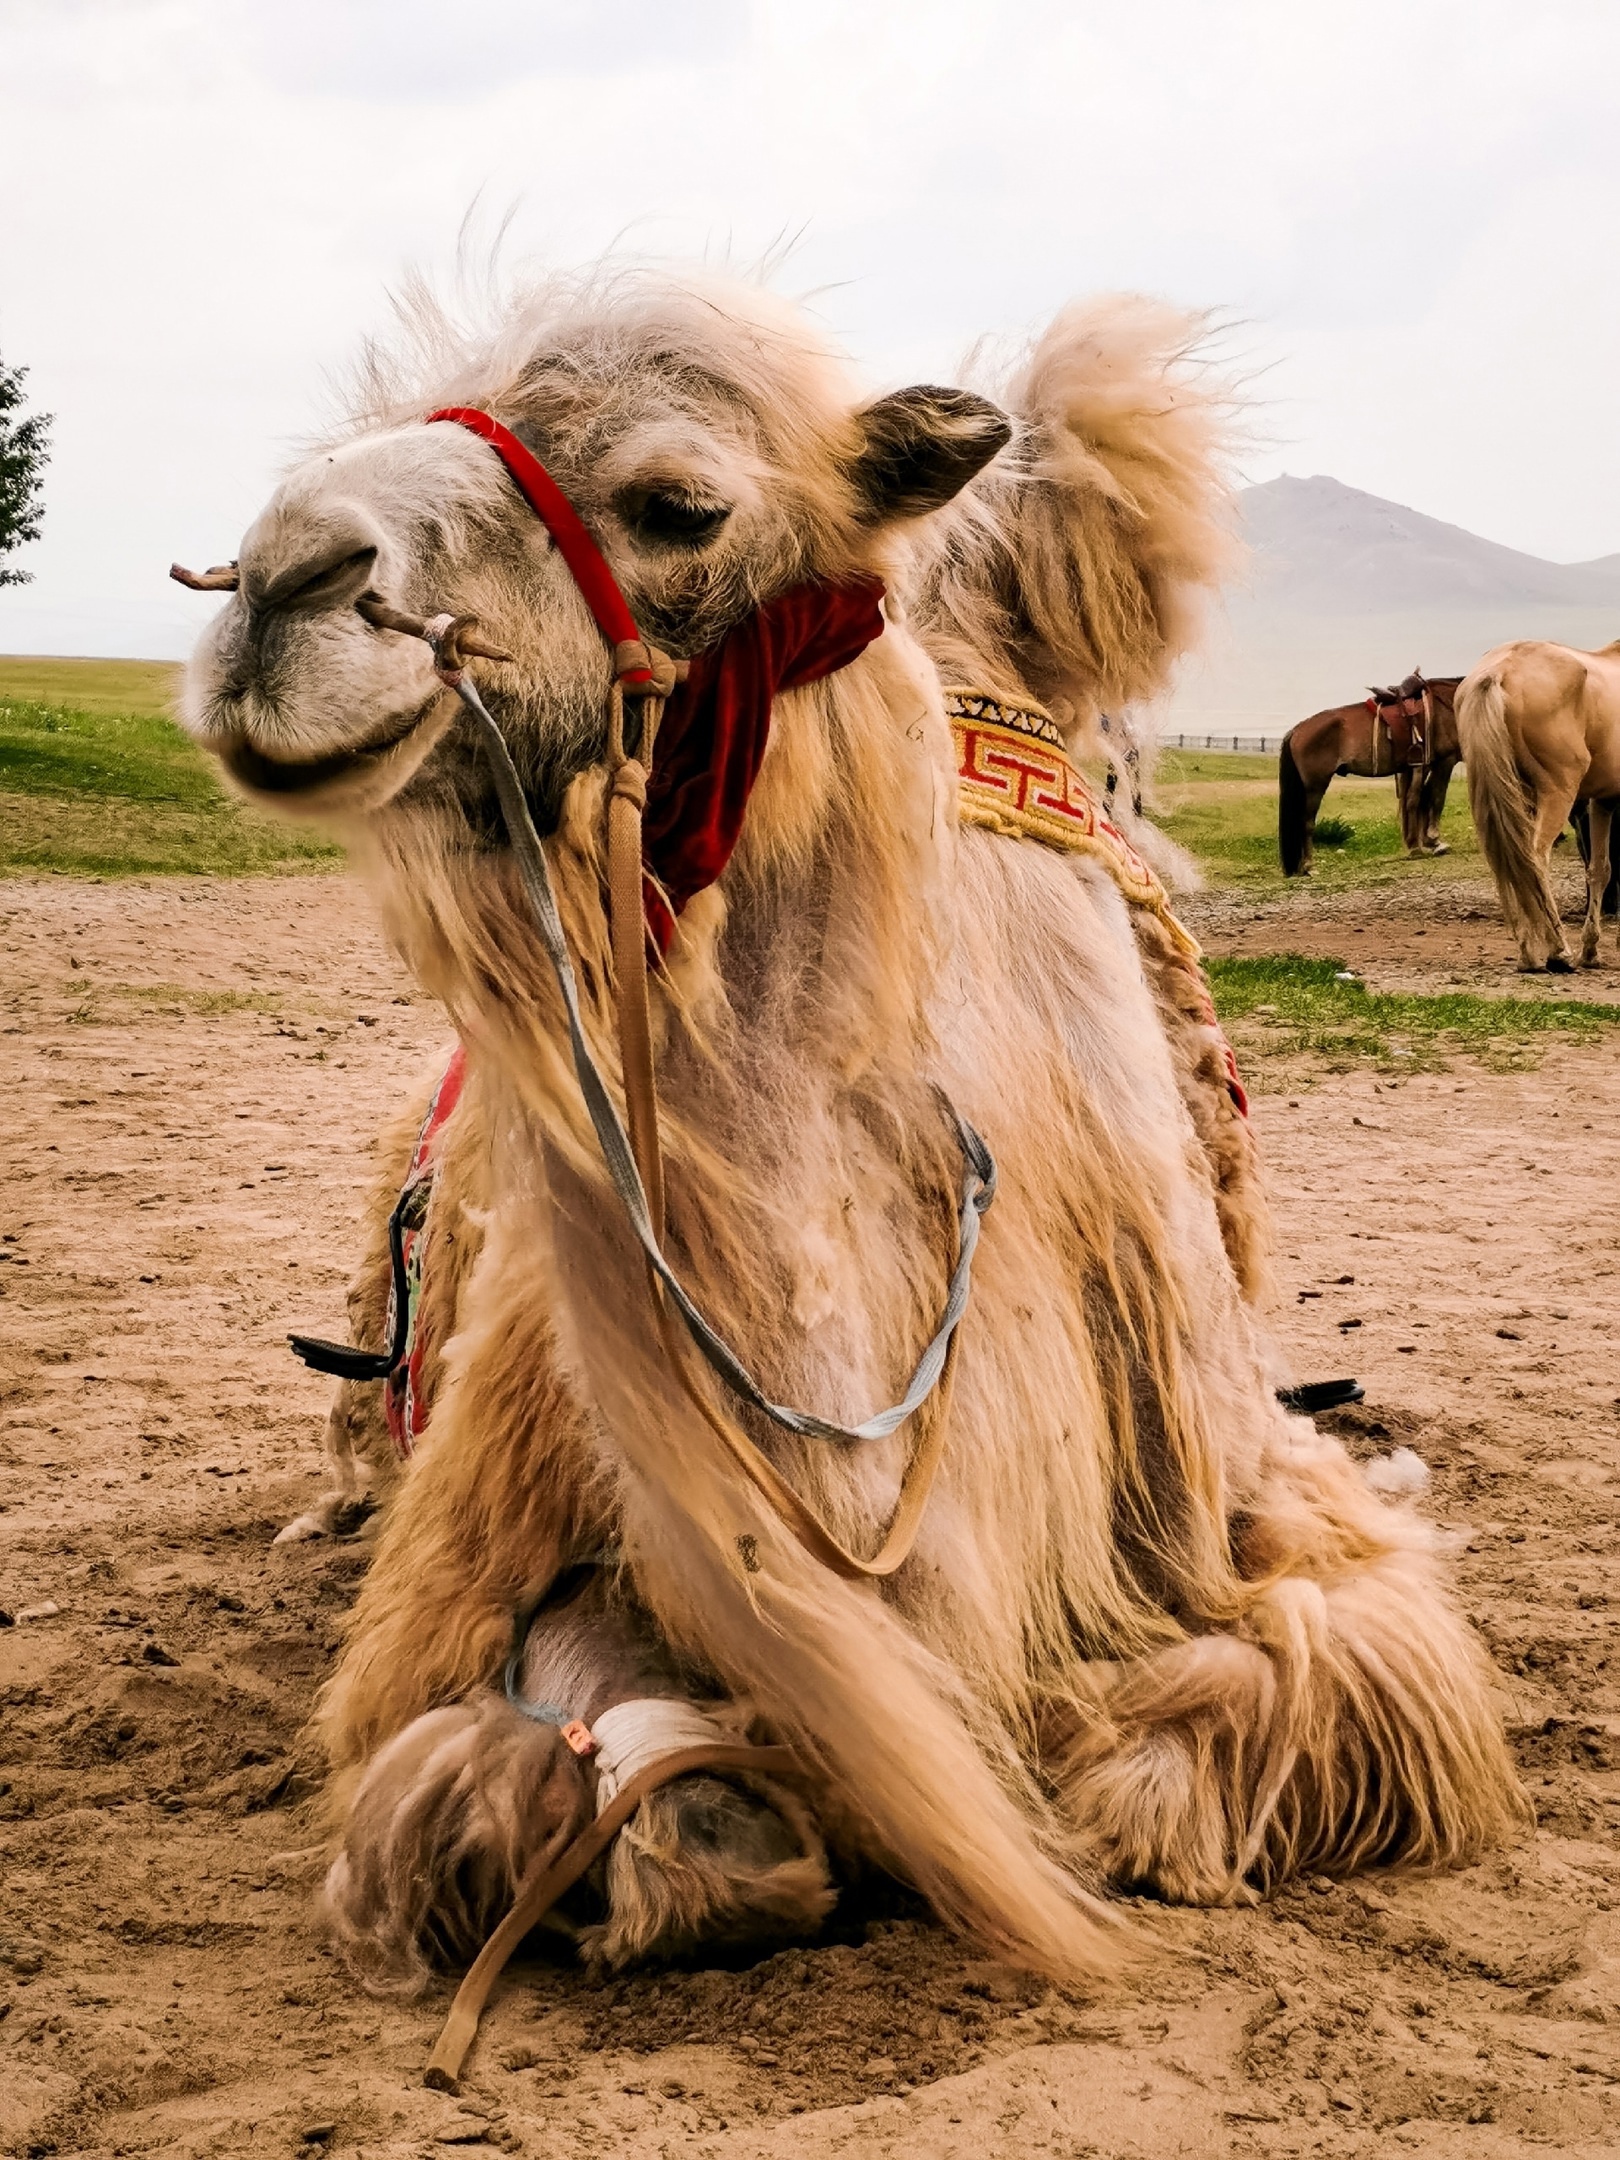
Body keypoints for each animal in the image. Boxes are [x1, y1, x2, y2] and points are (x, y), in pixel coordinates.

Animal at [1278, 673, 1468, 876]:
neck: (1448, 704)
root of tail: (1296, 730)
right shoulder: (1445, 761)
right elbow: (1436, 799)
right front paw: (1435, 841)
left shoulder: (1423, 765)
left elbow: (1418, 801)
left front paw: (1418, 845)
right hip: (1315, 786)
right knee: (1306, 823)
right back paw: (1309, 866)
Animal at [1460, 635, 1620, 976]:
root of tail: (1497, 671)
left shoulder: (1603, 801)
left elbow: (1600, 869)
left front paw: (1591, 950)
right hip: (1556, 792)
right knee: (1534, 859)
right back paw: (1558, 951)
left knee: (1509, 862)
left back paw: (1528, 954)